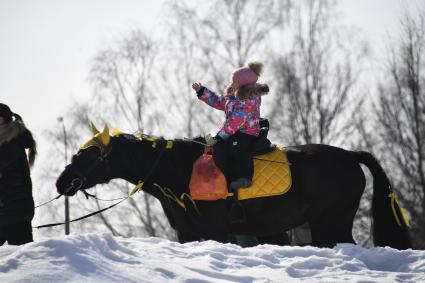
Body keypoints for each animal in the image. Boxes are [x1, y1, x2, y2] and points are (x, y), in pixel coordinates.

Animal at [55, 125, 410, 250]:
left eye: (88, 154)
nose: (62, 181)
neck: (181, 171)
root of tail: (351, 156)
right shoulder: (187, 234)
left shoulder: (216, 231)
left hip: (330, 223)